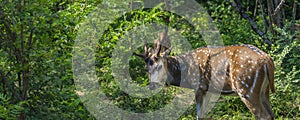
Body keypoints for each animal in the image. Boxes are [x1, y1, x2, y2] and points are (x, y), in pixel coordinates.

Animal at [135, 41, 276, 119]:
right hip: (264, 91)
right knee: (271, 114)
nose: (152, 86)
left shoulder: (199, 87)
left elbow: (199, 115)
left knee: (263, 116)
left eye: (159, 66)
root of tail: (267, 60)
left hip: (246, 88)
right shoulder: (209, 90)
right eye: (146, 69)